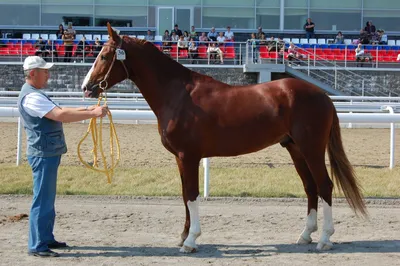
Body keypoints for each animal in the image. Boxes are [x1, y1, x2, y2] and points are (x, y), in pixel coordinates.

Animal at [83, 23, 368, 254]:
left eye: (105, 55)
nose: (87, 88)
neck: (178, 95)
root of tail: (322, 96)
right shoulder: (180, 159)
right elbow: (184, 195)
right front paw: (183, 236)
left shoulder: (189, 156)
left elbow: (192, 195)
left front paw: (191, 241)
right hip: (295, 149)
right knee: (310, 188)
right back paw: (306, 235)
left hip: (312, 149)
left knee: (324, 186)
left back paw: (325, 239)